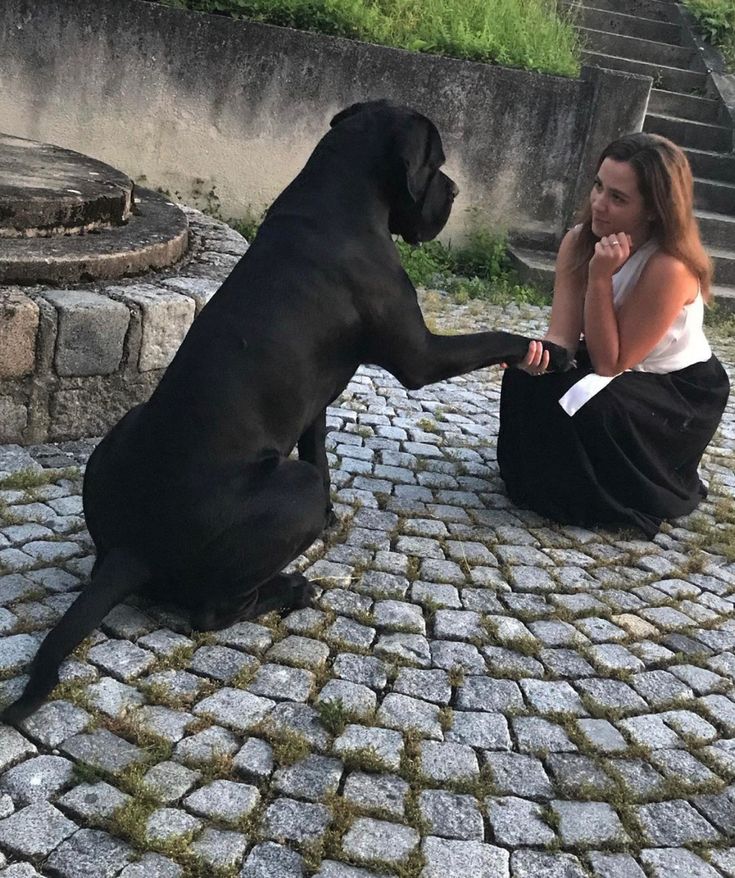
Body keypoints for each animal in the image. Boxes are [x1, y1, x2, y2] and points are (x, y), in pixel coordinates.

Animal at [0, 99, 568, 724]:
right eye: (437, 161)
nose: (456, 189)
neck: (340, 198)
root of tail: (133, 548)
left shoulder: (315, 398)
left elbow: (318, 446)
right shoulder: (420, 355)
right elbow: (495, 337)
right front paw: (551, 352)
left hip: (122, 433)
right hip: (289, 491)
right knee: (211, 611)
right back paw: (291, 589)